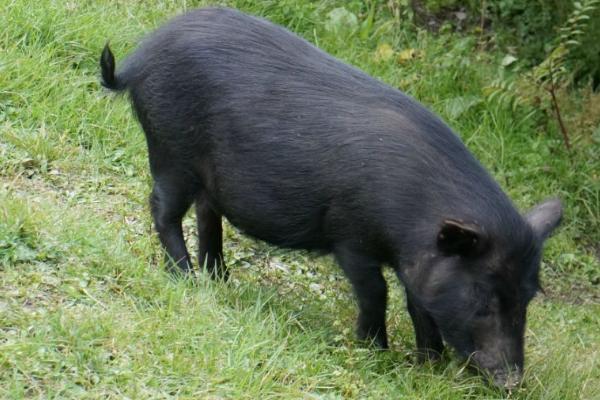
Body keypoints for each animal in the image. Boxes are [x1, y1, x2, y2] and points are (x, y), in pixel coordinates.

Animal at [98, 6, 564, 388]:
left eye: (527, 298)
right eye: (483, 299)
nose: (512, 382)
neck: (410, 225)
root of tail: (138, 60)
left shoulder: (418, 262)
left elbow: (420, 305)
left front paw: (427, 366)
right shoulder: (350, 236)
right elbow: (376, 291)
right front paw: (375, 352)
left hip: (205, 176)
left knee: (206, 214)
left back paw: (221, 280)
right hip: (170, 151)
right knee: (162, 209)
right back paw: (185, 278)